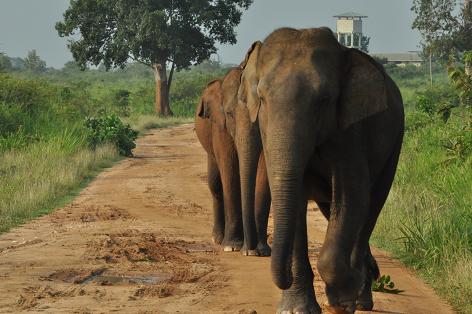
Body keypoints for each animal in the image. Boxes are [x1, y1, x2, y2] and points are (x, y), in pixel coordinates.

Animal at [240, 27, 406, 314]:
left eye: (324, 100)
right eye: (261, 99)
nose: (263, 252)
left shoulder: (351, 131)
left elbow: (352, 197)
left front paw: (342, 302)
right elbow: (294, 199)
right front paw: (295, 309)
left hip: (395, 142)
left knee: (370, 208)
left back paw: (360, 297)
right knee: (335, 211)